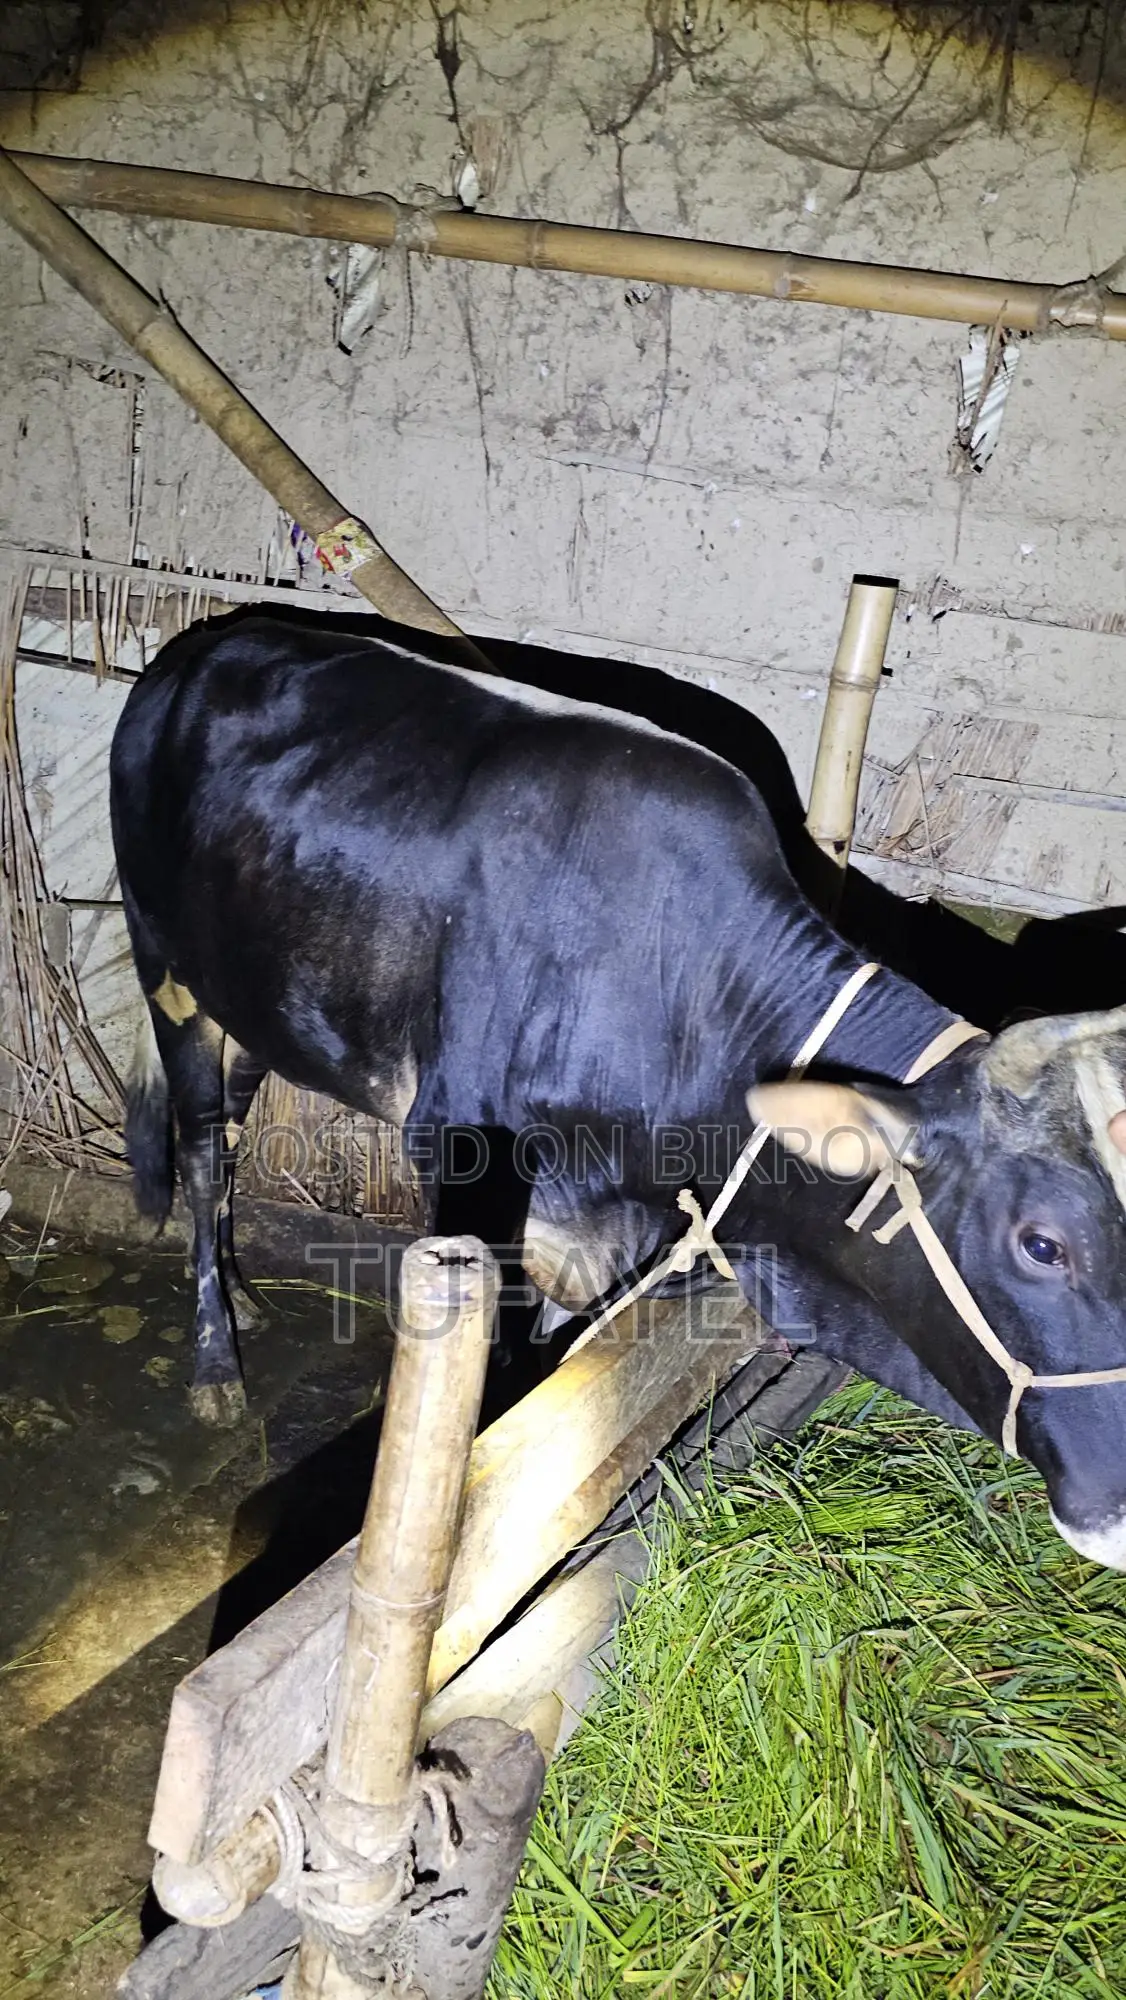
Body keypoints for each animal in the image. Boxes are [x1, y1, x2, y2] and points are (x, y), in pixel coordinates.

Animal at [110, 610, 1126, 1567]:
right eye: (1042, 1245)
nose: (1117, 1512)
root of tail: (197, 649)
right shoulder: (462, 1157)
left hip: (257, 1000)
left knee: (232, 1132)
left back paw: (244, 1294)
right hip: (170, 971)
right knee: (200, 1153)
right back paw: (215, 1363)